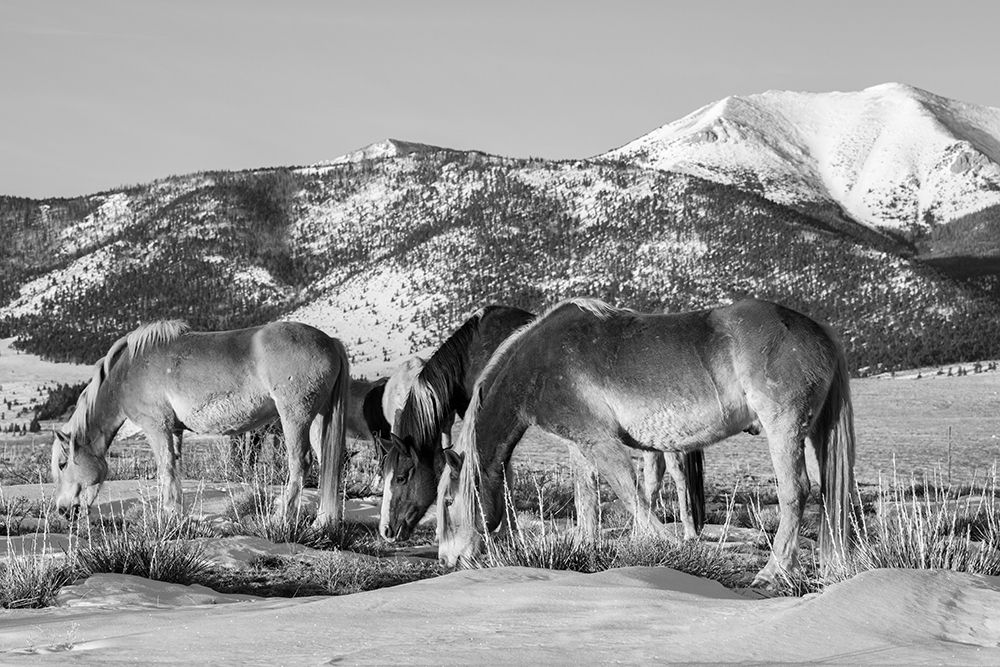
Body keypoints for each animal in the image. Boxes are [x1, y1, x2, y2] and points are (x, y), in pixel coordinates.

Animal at [54, 320, 354, 528]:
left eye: (63, 464)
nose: (62, 509)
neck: (126, 372)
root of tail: (331, 342)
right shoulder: (174, 430)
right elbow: (175, 470)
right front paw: (176, 514)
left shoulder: (157, 428)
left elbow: (165, 470)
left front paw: (168, 518)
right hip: (319, 420)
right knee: (327, 462)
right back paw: (322, 521)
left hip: (295, 417)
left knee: (300, 463)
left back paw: (280, 519)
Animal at [378, 306, 708, 544]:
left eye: (402, 477)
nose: (386, 531)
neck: (470, 356)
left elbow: (504, 474)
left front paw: (506, 531)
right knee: (654, 474)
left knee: (677, 473)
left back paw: (688, 532)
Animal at [438, 298, 860, 584]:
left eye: (446, 503)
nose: (446, 560)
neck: (537, 365)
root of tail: (821, 332)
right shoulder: (579, 444)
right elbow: (586, 501)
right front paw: (585, 551)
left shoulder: (600, 441)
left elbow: (631, 495)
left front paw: (669, 548)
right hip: (813, 435)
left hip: (783, 430)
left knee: (796, 493)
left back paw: (772, 573)